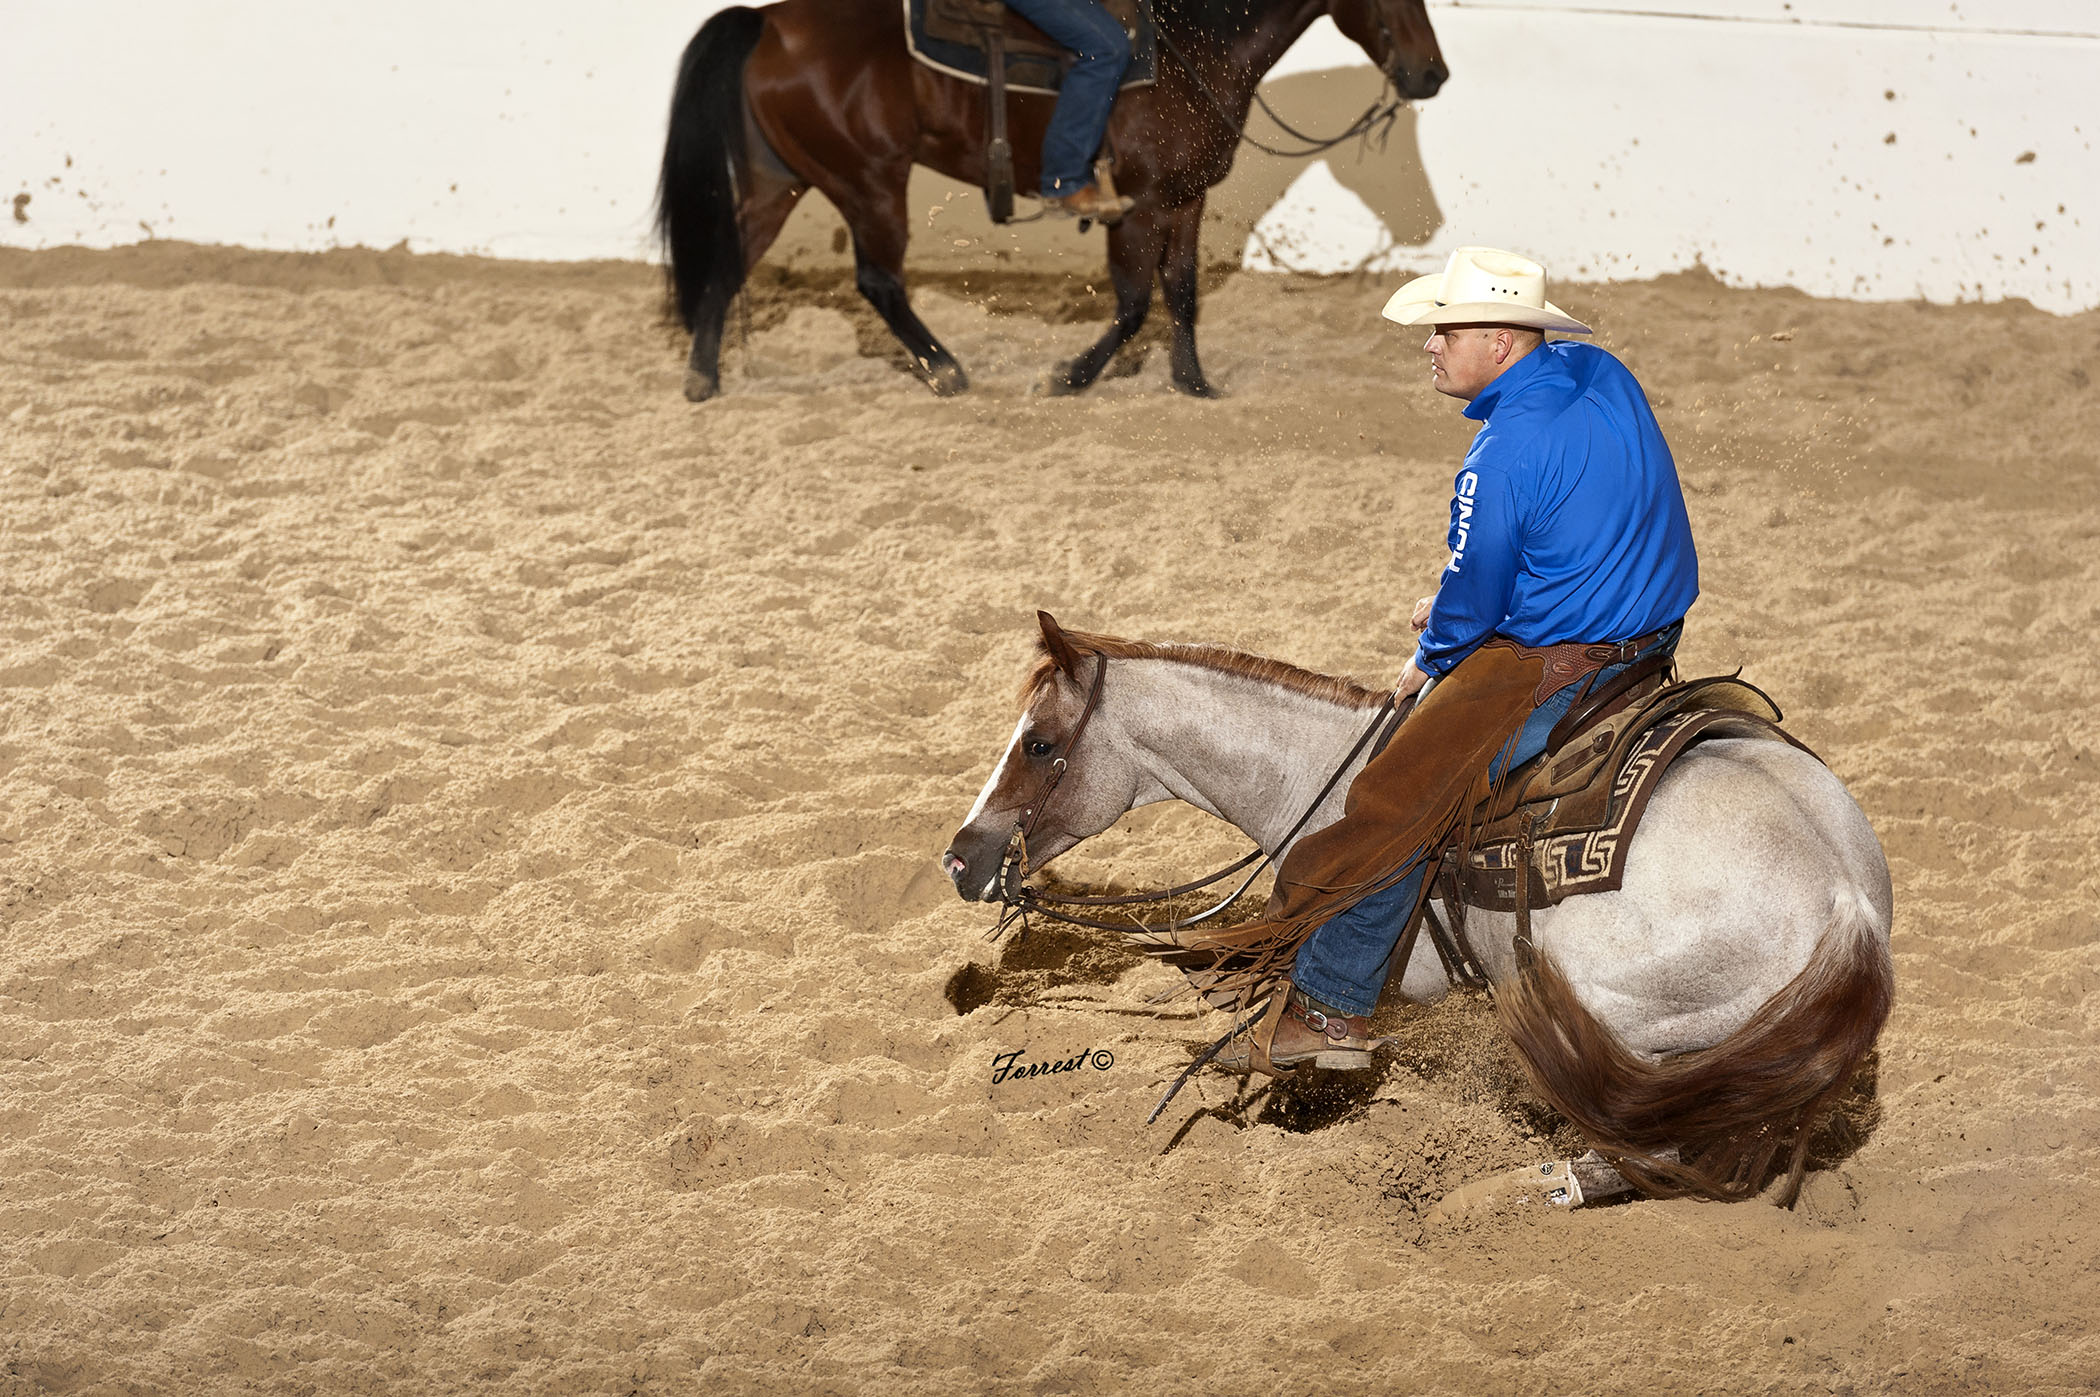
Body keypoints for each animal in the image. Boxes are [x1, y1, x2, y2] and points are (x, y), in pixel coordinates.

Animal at [651, 0, 1444, 401]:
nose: (1431, 74)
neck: (1194, 46)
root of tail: (767, 19)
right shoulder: (1141, 203)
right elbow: (1134, 302)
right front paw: (1071, 375)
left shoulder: (1184, 199)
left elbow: (1182, 291)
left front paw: (1193, 382)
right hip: (868, 178)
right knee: (879, 279)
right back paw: (945, 370)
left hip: (780, 178)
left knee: (728, 260)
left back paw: (702, 375)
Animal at [944, 617, 1898, 1201]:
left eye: (1039, 743)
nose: (960, 857)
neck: (1315, 777)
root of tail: (1845, 898)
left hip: (1627, 1024)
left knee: (1639, 1151)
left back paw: (1503, 1192)